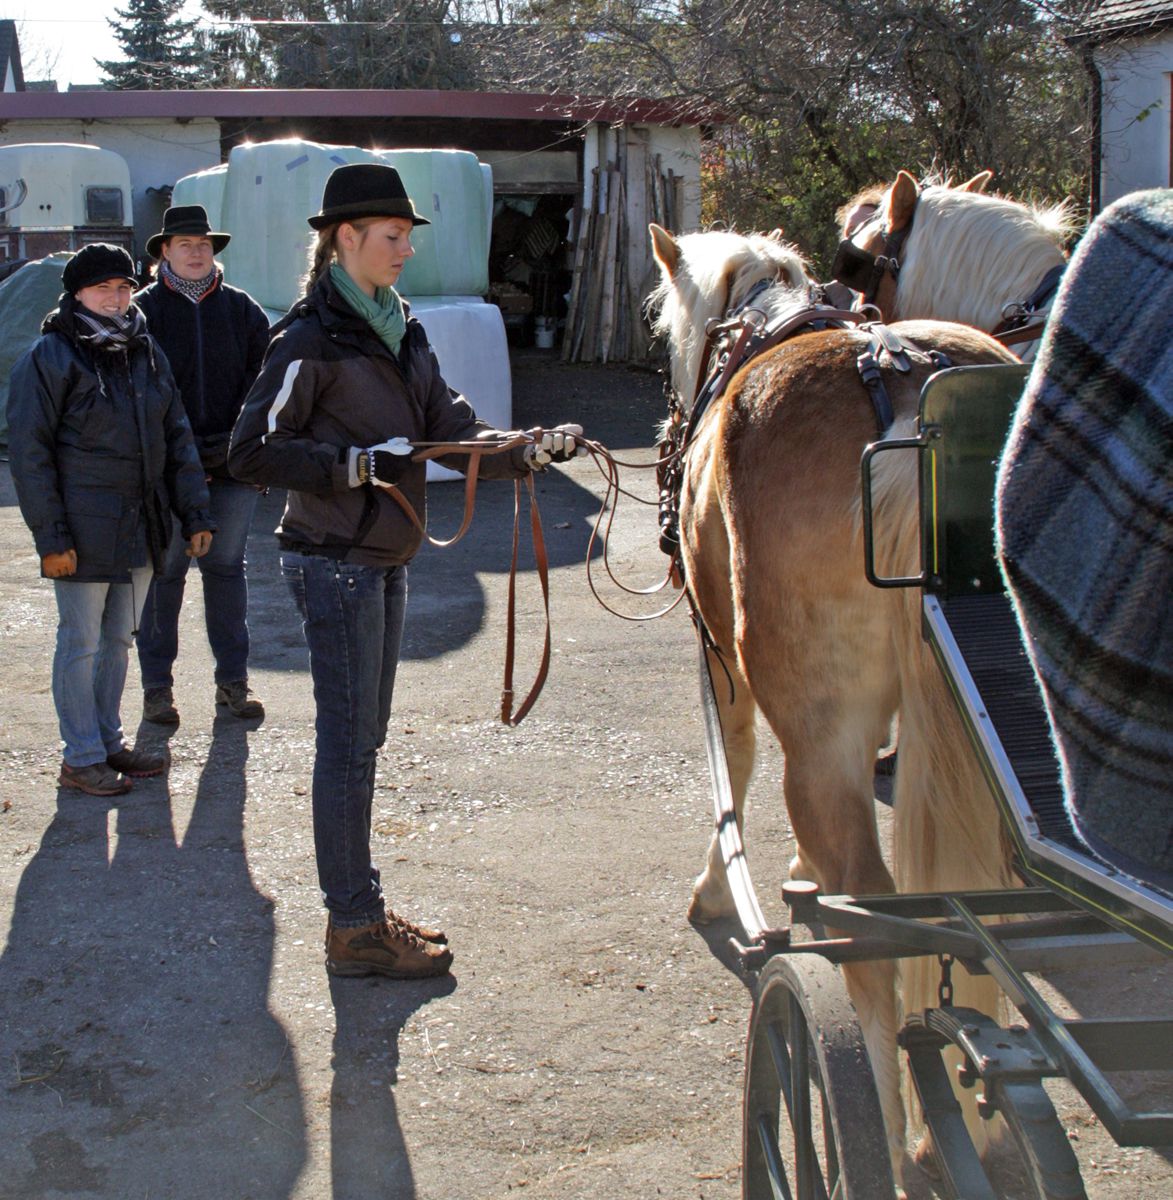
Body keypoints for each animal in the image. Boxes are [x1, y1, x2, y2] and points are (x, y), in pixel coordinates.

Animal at [647, 223, 1026, 1180]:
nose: (666, 437)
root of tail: (907, 400)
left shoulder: (722, 657)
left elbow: (735, 767)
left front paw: (721, 888)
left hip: (815, 729)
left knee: (872, 924)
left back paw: (887, 1131)